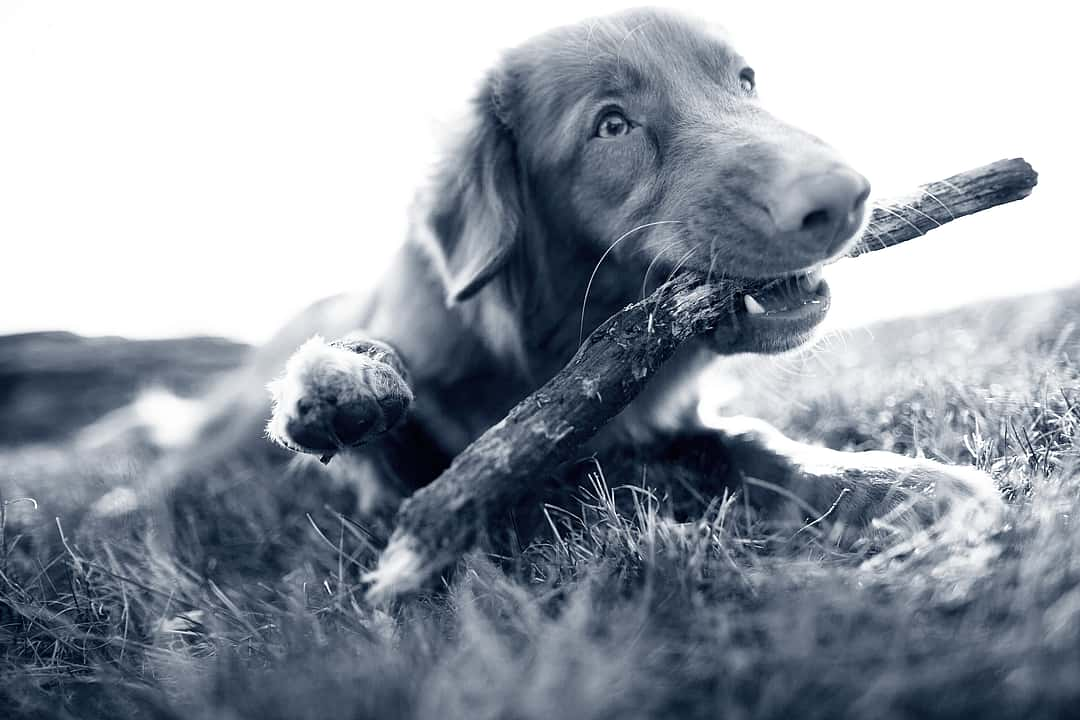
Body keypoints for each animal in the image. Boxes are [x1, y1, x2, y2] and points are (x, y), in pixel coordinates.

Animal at [109, 9, 1002, 539]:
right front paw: (346, 383)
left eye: (746, 80)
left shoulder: (670, 422)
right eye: (611, 125)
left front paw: (897, 483)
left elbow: (755, 443)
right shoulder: (402, 493)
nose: (845, 197)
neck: (547, 349)